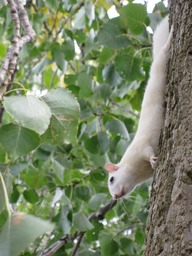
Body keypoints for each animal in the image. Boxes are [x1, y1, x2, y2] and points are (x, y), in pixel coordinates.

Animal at [104, 16, 173, 200]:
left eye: (111, 179)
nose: (115, 197)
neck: (137, 173)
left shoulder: (140, 146)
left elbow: (148, 151)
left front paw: (153, 160)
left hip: (160, 65)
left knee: (163, 53)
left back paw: (171, 36)